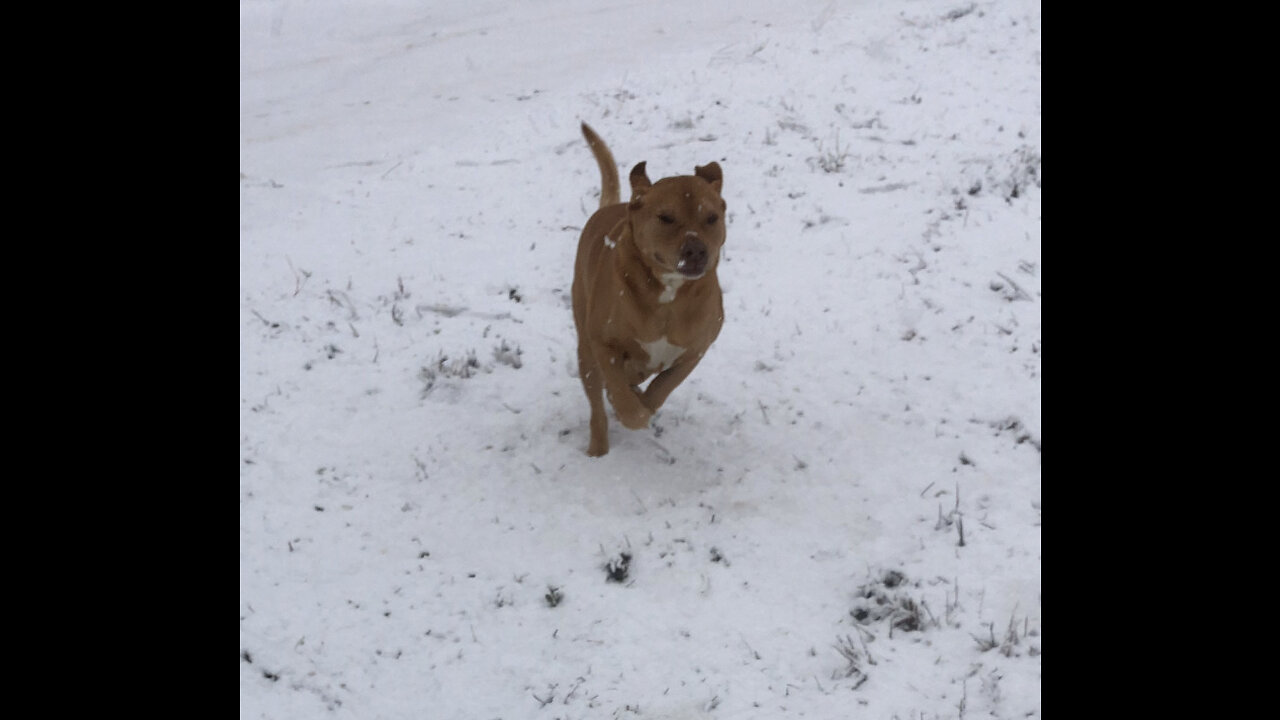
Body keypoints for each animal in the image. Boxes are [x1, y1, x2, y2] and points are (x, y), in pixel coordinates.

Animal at [576, 122, 727, 453]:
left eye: (712, 217)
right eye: (666, 217)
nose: (696, 250)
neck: (668, 293)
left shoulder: (695, 350)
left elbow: (663, 385)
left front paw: (645, 402)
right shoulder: (602, 342)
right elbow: (619, 393)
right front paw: (632, 411)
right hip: (584, 347)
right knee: (596, 405)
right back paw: (599, 447)